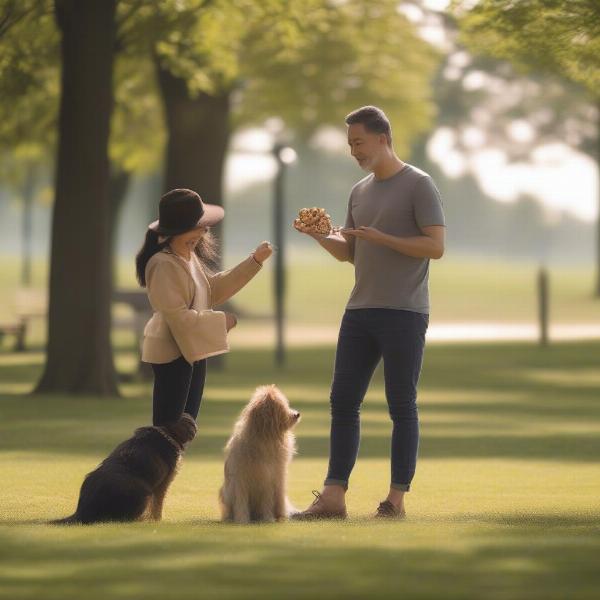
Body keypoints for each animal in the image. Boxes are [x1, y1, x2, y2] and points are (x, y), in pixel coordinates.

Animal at [51, 414, 197, 524]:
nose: (193, 424)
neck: (167, 432)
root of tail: (84, 510)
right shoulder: (163, 483)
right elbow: (157, 505)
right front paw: (157, 520)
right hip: (144, 493)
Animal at [219, 386, 300, 524]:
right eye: (282, 407)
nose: (297, 414)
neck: (265, 437)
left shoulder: (269, 478)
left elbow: (267, 500)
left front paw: (268, 518)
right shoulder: (240, 479)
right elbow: (241, 501)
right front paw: (242, 520)